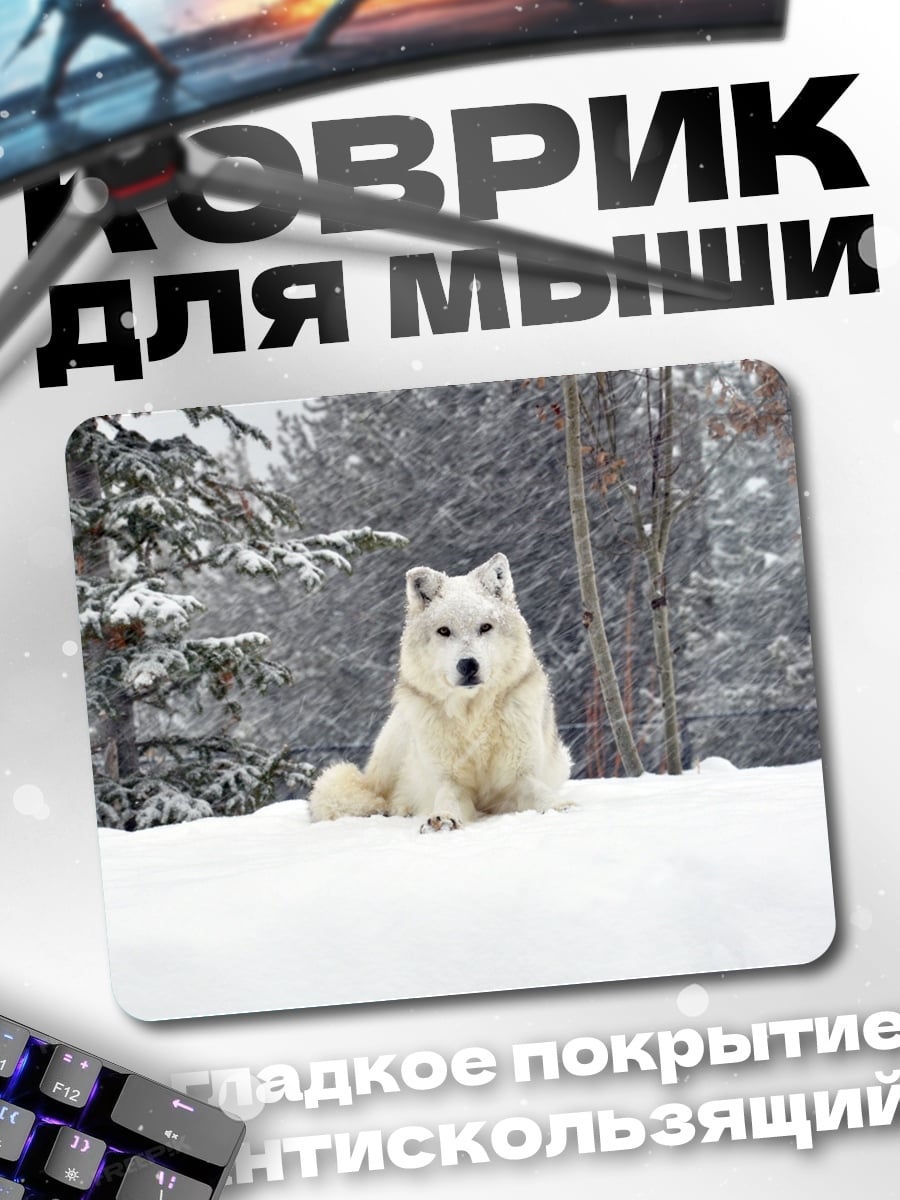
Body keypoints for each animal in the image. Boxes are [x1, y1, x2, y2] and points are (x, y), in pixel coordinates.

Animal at [308, 553, 572, 832]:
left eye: (485, 627)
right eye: (444, 631)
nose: (468, 665)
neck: (473, 717)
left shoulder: (518, 776)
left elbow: (539, 791)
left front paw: (558, 806)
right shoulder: (449, 780)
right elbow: (446, 798)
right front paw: (442, 818)